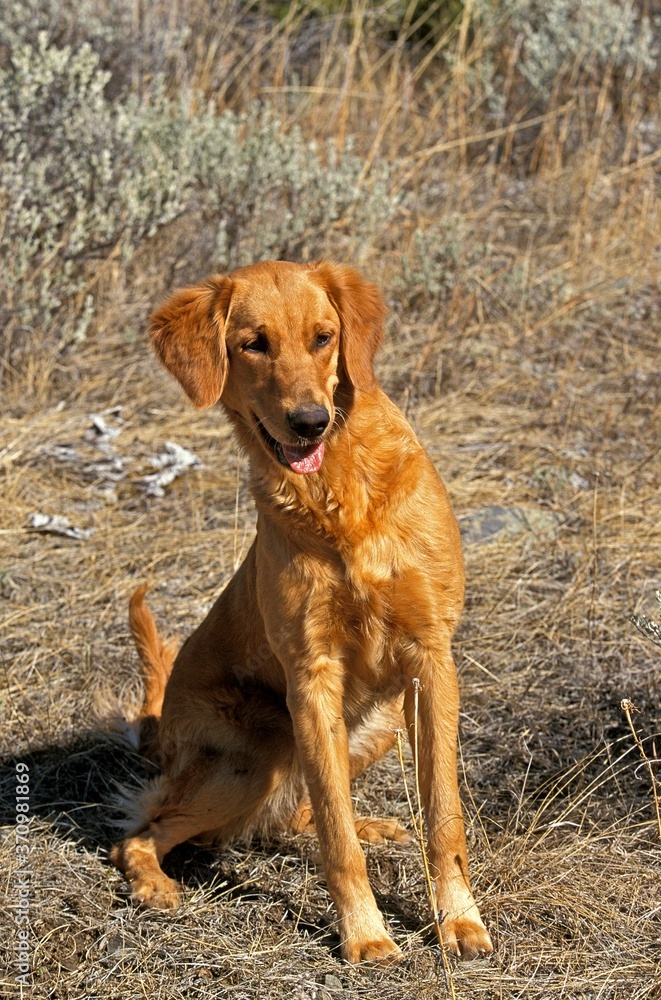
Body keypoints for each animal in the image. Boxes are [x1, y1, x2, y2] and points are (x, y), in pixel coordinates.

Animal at [109, 258, 490, 960]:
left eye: (323, 338)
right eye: (253, 344)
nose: (310, 420)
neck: (339, 492)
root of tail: (159, 733)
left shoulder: (432, 658)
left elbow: (443, 818)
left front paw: (459, 922)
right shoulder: (311, 678)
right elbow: (335, 843)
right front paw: (365, 936)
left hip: (381, 721)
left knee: (297, 809)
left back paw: (374, 826)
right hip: (254, 757)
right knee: (145, 829)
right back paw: (154, 885)